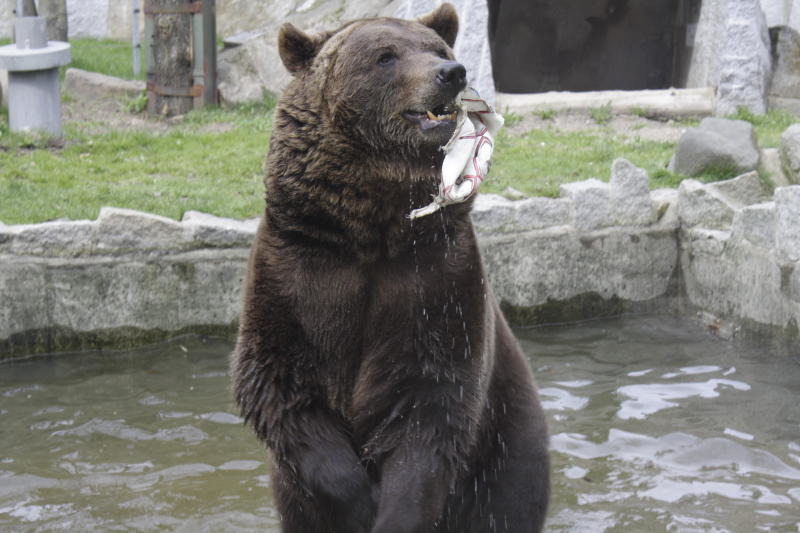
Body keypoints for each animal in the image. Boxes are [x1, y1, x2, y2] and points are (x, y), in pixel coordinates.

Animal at [228, 5, 548, 532]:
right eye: (385, 56)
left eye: (437, 49)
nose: (451, 73)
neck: (371, 229)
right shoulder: (295, 270)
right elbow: (279, 384)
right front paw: (358, 500)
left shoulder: (437, 277)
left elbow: (432, 404)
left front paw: (393, 510)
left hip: (508, 447)